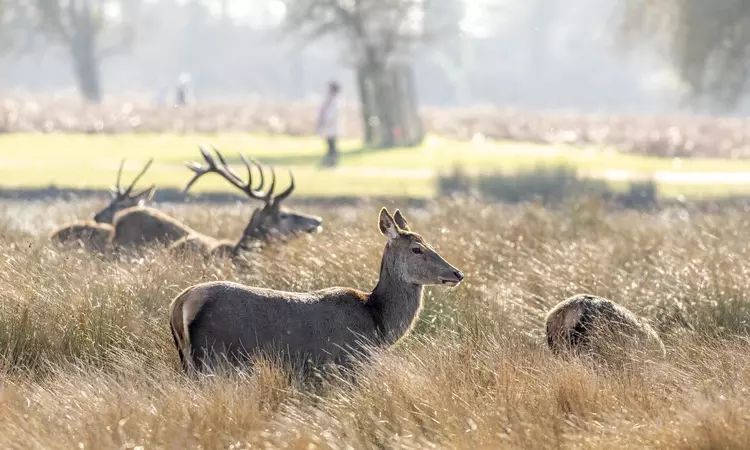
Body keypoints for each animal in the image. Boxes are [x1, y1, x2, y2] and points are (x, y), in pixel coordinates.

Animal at [169, 207, 464, 372]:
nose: (457, 273)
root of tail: (180, 303)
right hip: (214, 358)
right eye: (417, 249)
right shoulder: (346, 363)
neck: (378, 326)